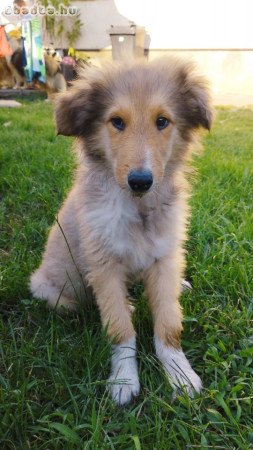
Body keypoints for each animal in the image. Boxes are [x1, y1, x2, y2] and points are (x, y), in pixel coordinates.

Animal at [29, 56, 211, 404]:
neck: (137, 208)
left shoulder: (165, 257)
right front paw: (124, 380)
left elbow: (168, 324)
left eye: (162, 121)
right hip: (50, 290)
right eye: (116, 122)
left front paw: (179, 373)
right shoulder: (105, 267)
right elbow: (120, 330)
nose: (140, 180)